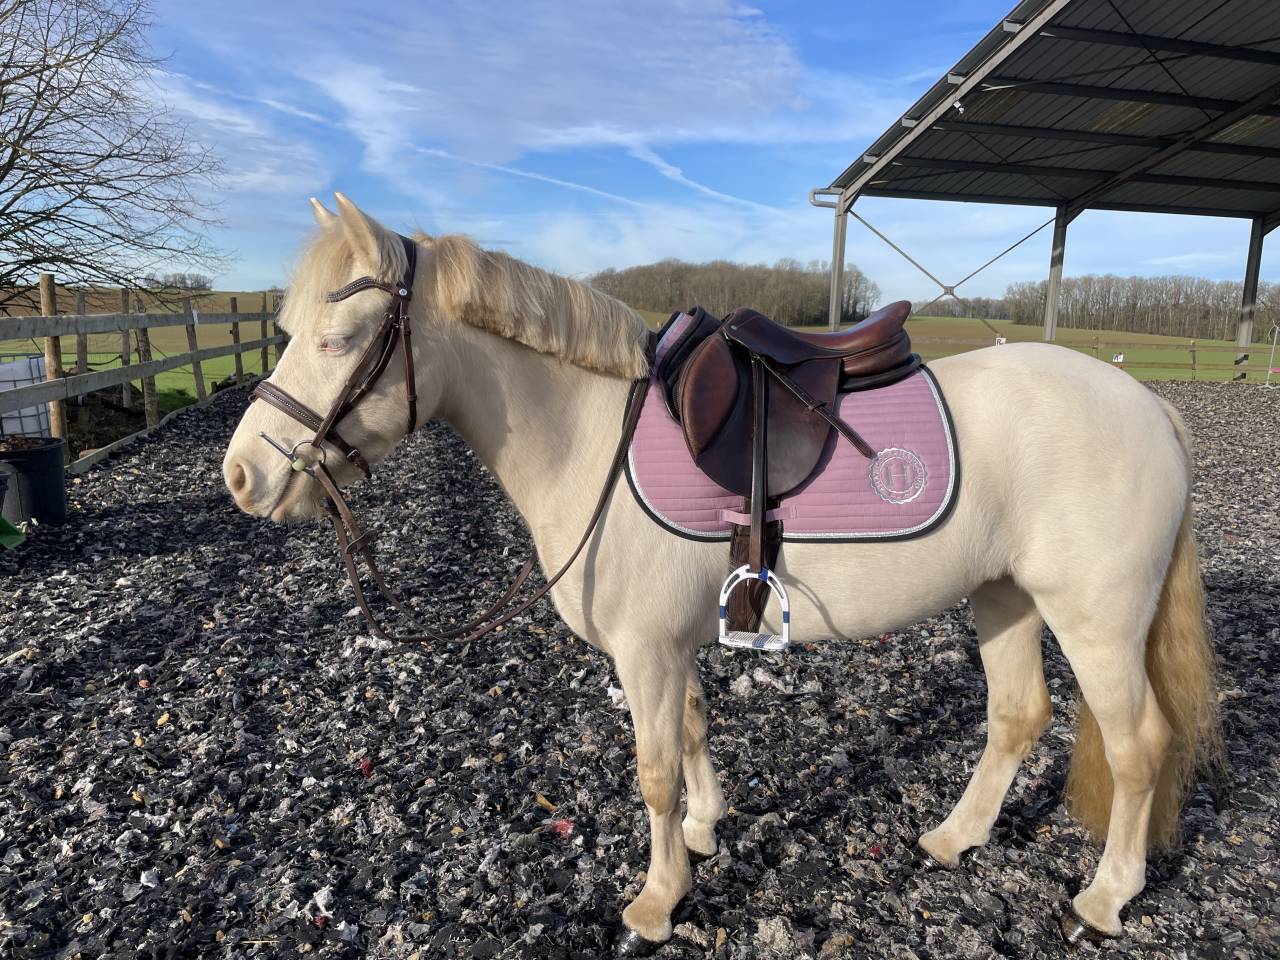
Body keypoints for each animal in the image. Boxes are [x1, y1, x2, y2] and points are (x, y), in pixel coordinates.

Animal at [222, 194, 1222, 954]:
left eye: (341, 337)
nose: (242, 477)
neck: (591, 435)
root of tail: (1152, 409)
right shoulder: (670, 646)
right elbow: (696, 735)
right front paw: (704, 834)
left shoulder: (644, 651)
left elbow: (656, 771)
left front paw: (657, 900)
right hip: (1005, 597)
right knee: (1017, 717)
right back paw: (953, 839)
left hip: (1095, 622)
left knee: (1138, 745)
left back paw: (1105, 899)